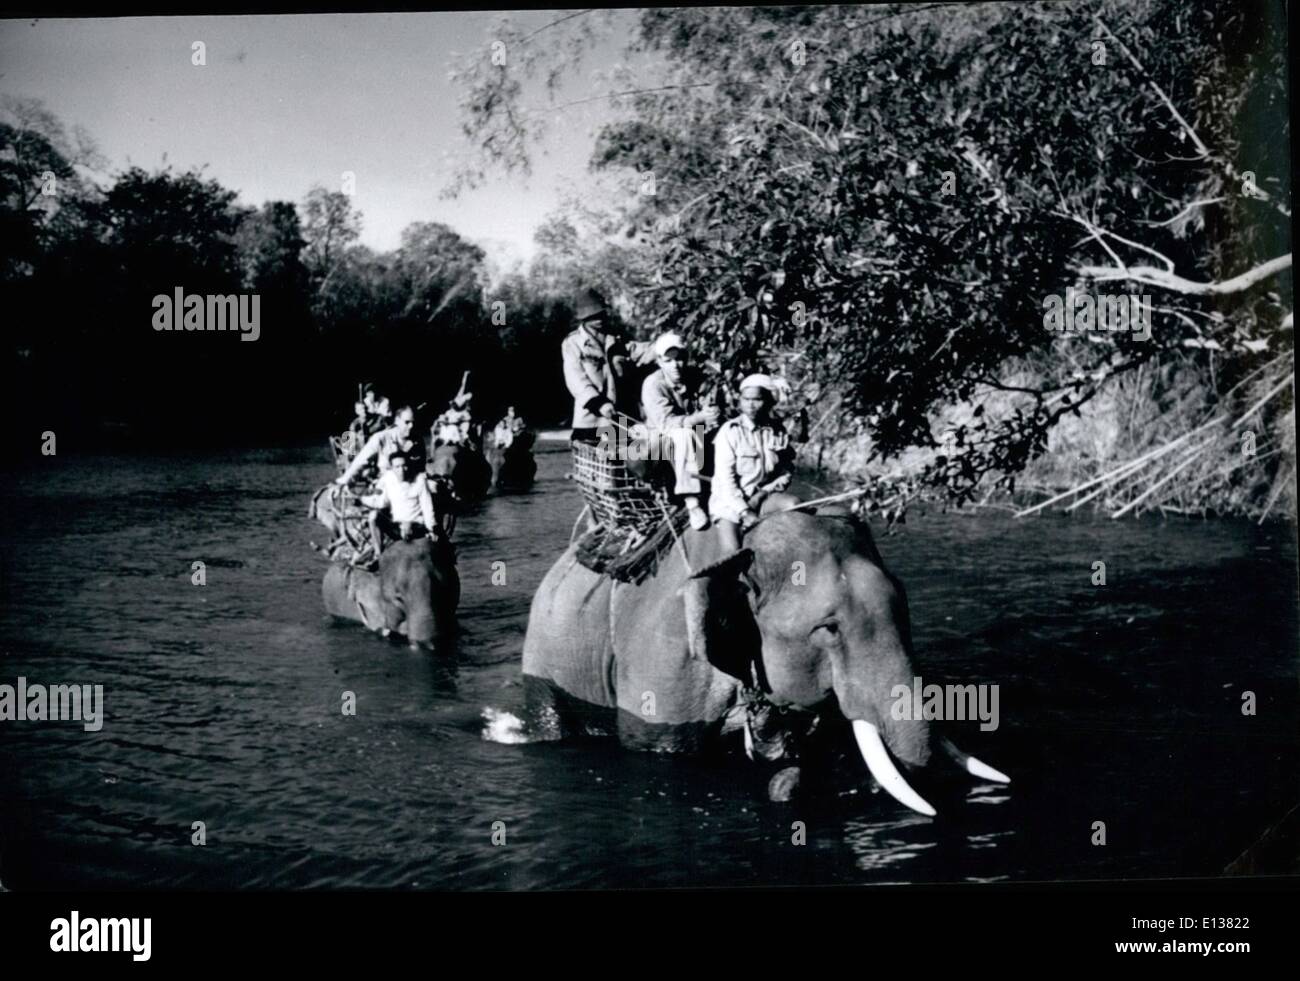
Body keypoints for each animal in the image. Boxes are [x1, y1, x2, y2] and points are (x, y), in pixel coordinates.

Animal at [512, 501, 1008, 810]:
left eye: (903, 603)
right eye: (828, 628)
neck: (740, 553)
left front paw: (791, 777)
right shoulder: (662, 663)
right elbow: (663, 748)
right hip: (543, 656)